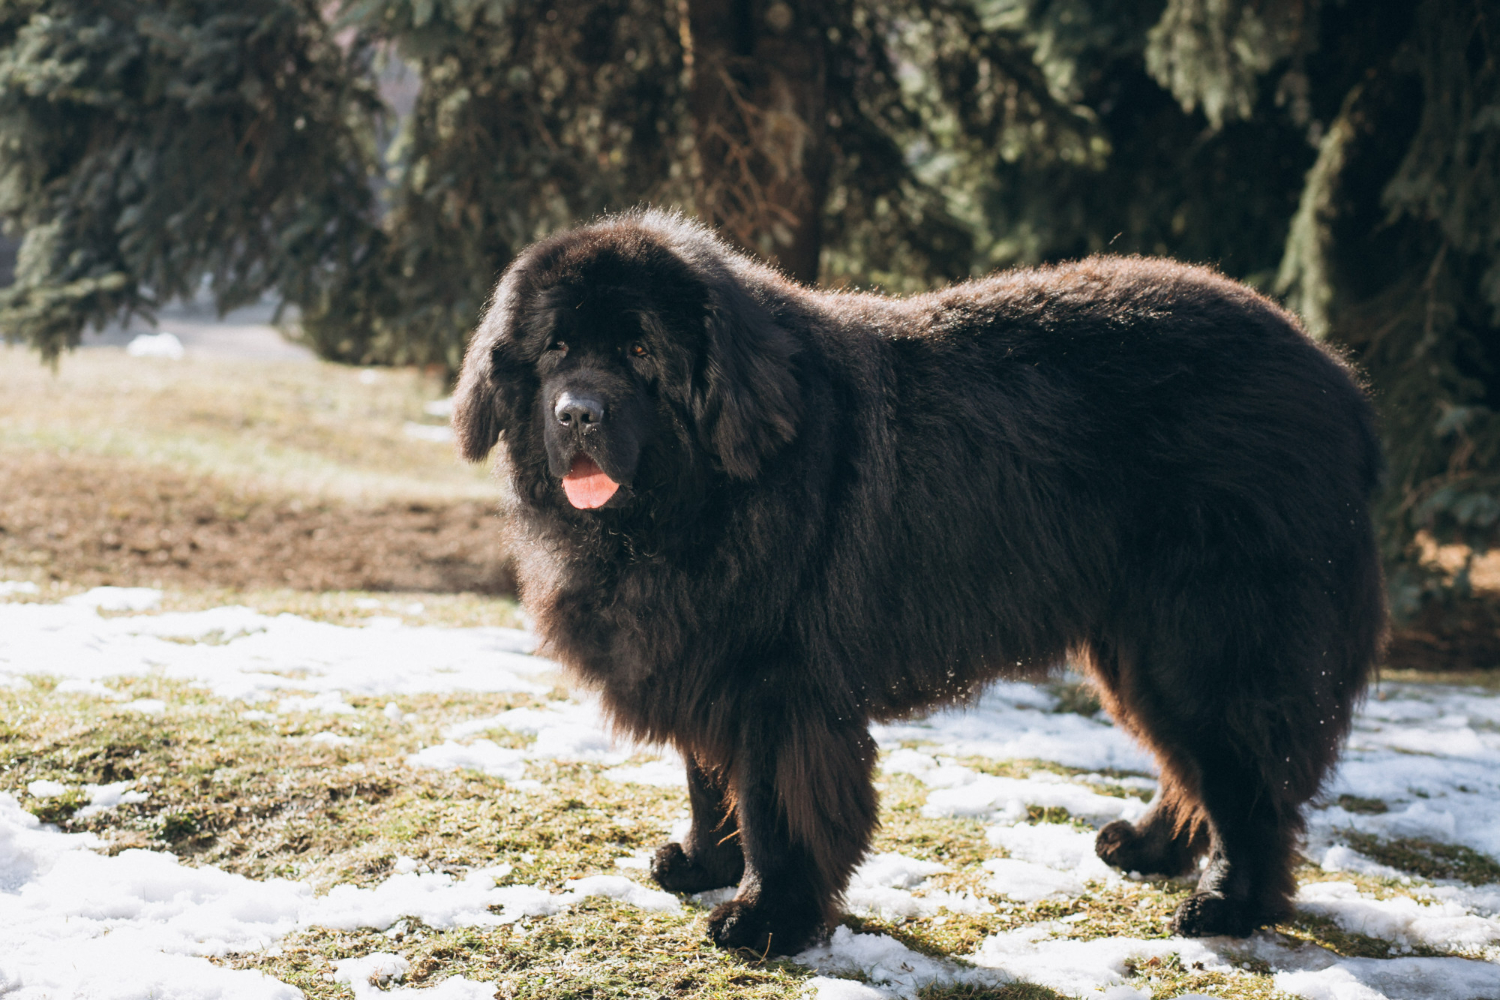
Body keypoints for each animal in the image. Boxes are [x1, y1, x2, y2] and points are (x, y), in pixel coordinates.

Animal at [451, 210, 1385, 955]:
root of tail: (1337, 378)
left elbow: (772, 802)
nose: (577, 413)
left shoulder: (778, 683)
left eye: (641, 350)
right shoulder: (698, 656)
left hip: (1204, 637)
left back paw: (1229, 904)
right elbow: (706, 777)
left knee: (1248, 780)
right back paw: (1150, 848)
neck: (694, 497)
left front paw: (766, 917)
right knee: (1194, 764)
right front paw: (703, 864)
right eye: (557, 348)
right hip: (1136, 643)